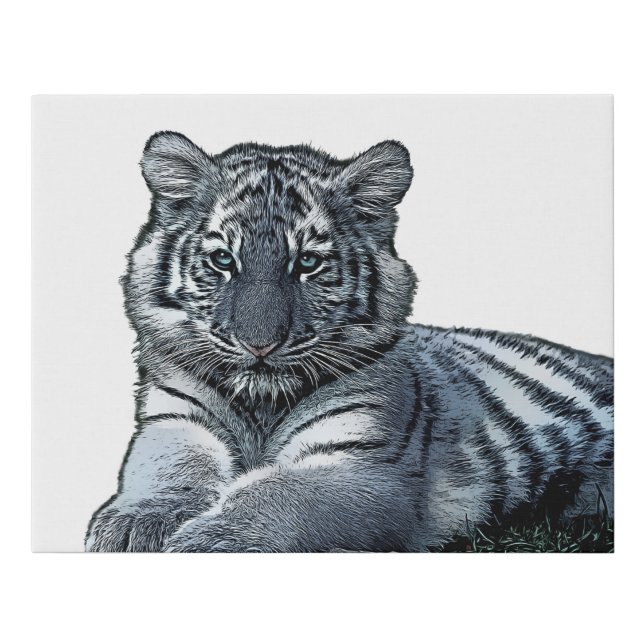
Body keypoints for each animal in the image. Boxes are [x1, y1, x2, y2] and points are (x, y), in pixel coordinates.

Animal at [85, 131, 614, 553]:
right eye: (222, 260)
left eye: (307, 263)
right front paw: (136, 524)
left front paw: (210, 541)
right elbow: (167, 468)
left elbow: (278, 496)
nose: (259, 345)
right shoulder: (175, 420)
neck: (262, 406)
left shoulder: (367, 468)